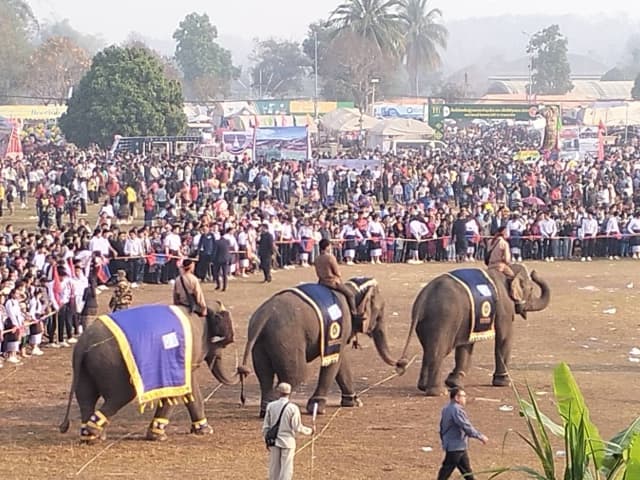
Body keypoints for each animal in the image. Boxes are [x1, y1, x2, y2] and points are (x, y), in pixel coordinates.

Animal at [59, 304, 238, 442]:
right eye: (223, 343)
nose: (240, 369)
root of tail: (83, 343)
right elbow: (179, 389)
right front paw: (159, 436)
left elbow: (189, 389)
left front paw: (202, 430)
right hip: (111, 365)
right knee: (120, 396)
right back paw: (94, 435)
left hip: (86, 367)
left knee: (86, 398)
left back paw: (91, 436)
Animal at [235, 278, 404, 416]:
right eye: (380, 312)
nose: (401, 364)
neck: (351, 289)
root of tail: (264, 315)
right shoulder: (342, 324)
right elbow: (334, 363)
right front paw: (317, 408)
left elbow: (340, 361)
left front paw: (354, 402)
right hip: (287, 339)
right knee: (296, 375)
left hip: (262, 343)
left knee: (265, 376)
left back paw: (265, 411)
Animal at [400, 264, 552, 396]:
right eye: (531, 289)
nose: (534, 272)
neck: (507, 271)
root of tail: (423, 297)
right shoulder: (504, 306)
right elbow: (504, 337)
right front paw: (504, 383)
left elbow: (466, 344)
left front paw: (454, 383)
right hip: (443, 319)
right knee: (438, 351)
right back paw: (438, 392)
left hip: (427, 323)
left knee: (428, 349)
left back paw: (424, 387)